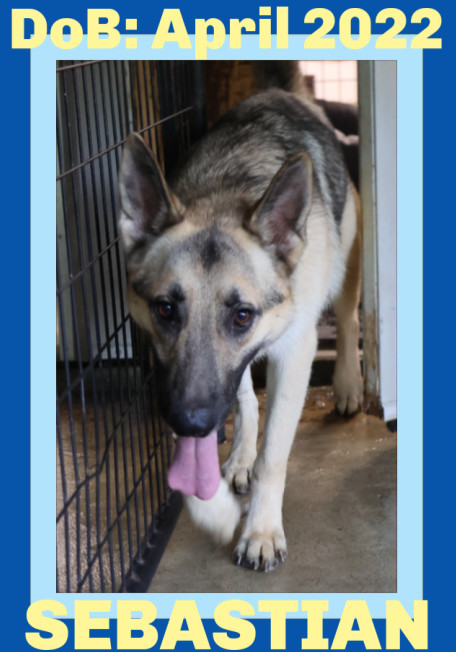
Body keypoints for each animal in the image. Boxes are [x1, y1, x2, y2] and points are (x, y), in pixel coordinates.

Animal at [118, 65, 364, 572]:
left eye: (242, 316)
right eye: (165, 308)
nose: (191, 422)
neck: (224, 192)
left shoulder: (295, 351)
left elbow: (275, 455)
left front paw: (262, 530)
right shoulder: (187, 382)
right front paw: (219, 502)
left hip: (349, 261)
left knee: (349, 320)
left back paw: (348, 383)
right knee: (247, 398)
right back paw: (240, 455)